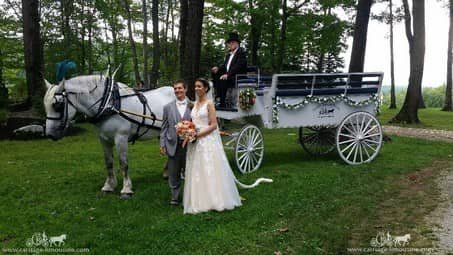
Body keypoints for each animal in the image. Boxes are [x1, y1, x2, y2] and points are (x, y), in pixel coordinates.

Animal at [43, 74, 175, 198]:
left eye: (57, 105)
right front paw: (109, 186)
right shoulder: (104, 139)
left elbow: (123, 163)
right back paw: (167, 173)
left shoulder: (121, 138)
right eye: (45, 106)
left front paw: (126, 189)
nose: (49, 134)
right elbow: (108, 162)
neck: (109, 104)